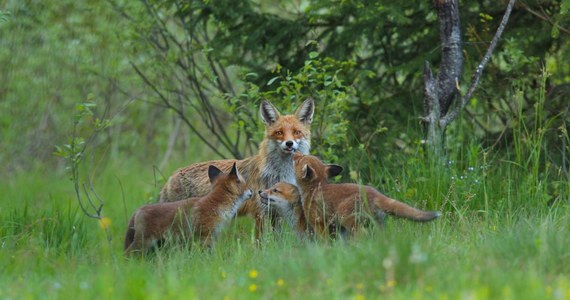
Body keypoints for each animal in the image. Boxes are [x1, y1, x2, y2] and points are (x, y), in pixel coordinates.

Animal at [158, 99, 312, 236]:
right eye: (279, 132)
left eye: (297, 132)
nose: (289, 143)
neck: (279, 173)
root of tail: (172, 176)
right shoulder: (259, 212)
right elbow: (260, 242)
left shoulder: (276, 212)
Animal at [292, 154, 440, 238]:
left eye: (299, 160)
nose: (294, 153)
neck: (315, 188)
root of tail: (375, 194)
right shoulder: (335, 227)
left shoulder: (318, 223)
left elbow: (324, 242)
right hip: (376, 224)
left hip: (349, 220)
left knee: (363, 235)